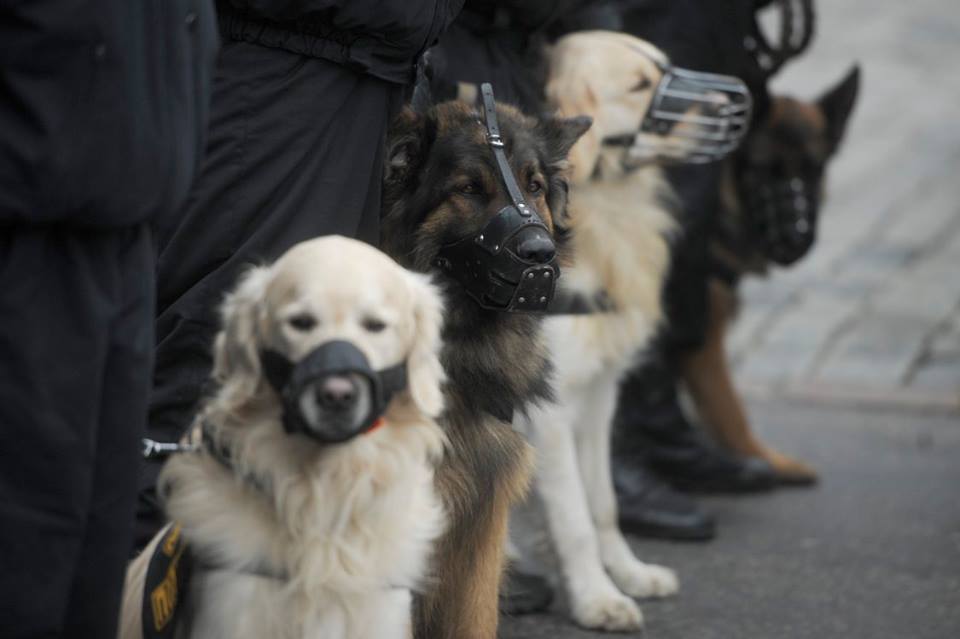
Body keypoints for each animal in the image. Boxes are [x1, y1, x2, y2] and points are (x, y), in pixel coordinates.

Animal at [684, 66, 864, 484]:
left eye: (814, 169)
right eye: (765, 170)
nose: (797, 239)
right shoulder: (705, 342)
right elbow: (731, 412)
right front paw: (768, 461)